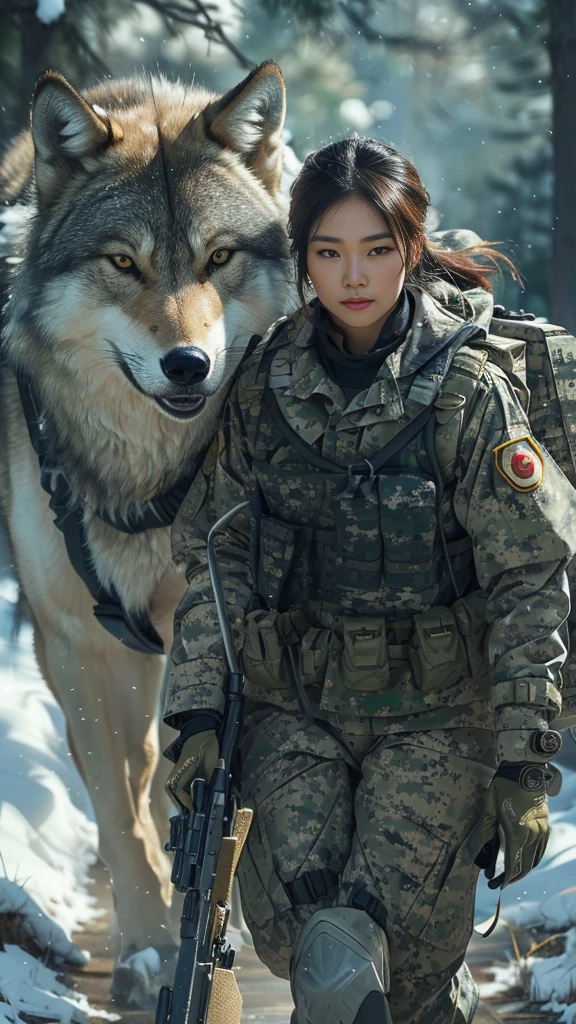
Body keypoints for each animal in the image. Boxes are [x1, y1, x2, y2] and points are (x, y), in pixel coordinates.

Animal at [0, 64, 293, 1007]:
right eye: (122, 262)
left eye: (218, 258)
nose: (188, 365)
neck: (141, 482)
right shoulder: (74, 639)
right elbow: (121, 807)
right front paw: (152, 948)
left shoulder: (207, 615)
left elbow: (181, 771)